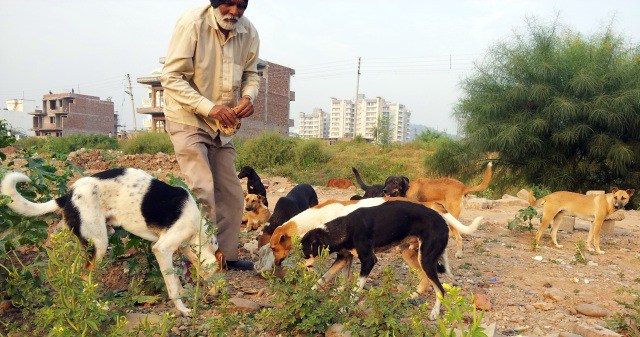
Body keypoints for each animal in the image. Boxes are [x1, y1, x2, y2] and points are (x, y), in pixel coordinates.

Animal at [0, 168, 226, 316]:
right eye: (221, 274)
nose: (218, 296)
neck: (198, 231)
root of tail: (66, 197)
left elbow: (176, 281)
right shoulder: (161, 249)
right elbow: (173, 288)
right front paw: (183, 309)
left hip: (88, 245)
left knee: (74, 275)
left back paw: (75, 303)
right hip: (99, 244)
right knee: (85, 275)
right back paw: (95, 306)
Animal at [300, 200, 476, 320]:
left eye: (306, 254)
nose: (302, 269)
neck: (345, 227)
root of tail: (442, 220)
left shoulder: (369, 260)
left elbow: (356, 287)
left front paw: (347, 306)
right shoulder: (344, 258)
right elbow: (324, 278)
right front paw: (307, 292)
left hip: (425, 260)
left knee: (440, 289)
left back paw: (435, 312)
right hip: (415, 255)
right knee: (430, 280)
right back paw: (411, 296)